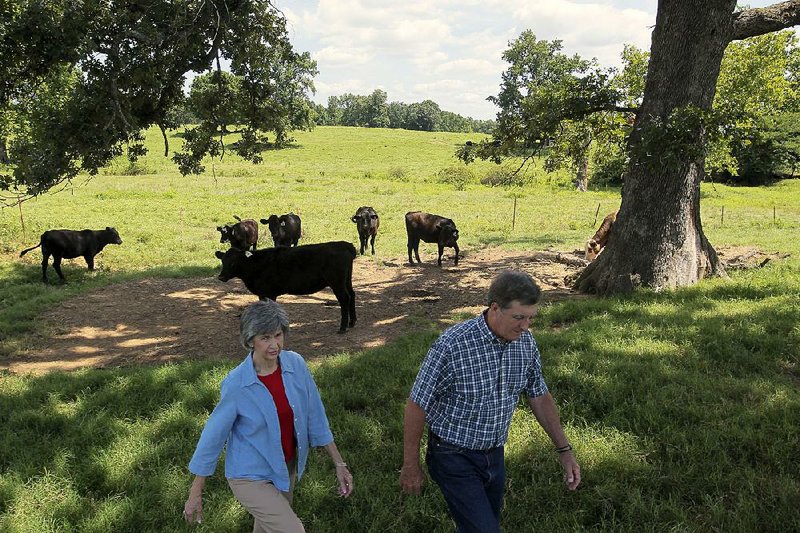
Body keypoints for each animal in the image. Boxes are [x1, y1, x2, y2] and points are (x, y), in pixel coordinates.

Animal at [217, 241, 358, 332]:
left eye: (234, 263)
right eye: (223, 261)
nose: (221, 277)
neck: (254, 265)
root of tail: (345, 245)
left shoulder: (266, 293)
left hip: (337, 282)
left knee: (344, 298)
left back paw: (343, 327)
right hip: (347, 280)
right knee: (352, 294)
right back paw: (352, 322)